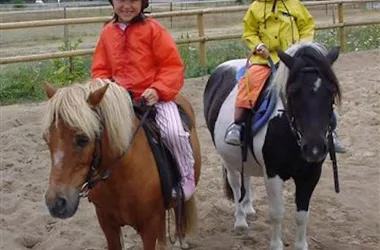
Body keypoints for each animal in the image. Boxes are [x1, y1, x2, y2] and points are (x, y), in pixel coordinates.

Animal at [203, 42, 342, 249]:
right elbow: (277, 213)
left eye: (331, 91)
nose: (314, 148)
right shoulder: (273, 174)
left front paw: (301, 245)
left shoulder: (311, 174)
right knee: (236, 184)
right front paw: (276, 245)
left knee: (246, 179)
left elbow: (302, 215)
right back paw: (241, 220)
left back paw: (248, 208)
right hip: (227, 158)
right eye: (292, 92)